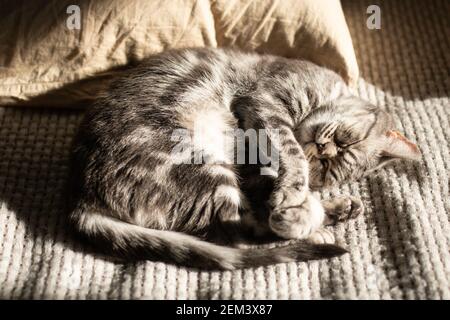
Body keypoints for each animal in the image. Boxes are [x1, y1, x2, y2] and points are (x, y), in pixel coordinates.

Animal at [67, 47, 422, 270]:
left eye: (327, 168)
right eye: (346, 140)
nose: (323, 150)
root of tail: (82, 200)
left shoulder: (256, 162)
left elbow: (278, 184)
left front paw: (304, 199)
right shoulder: (266, 103)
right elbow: (292, 154)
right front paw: (297, 195)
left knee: (242, 228)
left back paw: (332, 211)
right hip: (203, 166)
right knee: (238, 235)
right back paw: (311, 225)